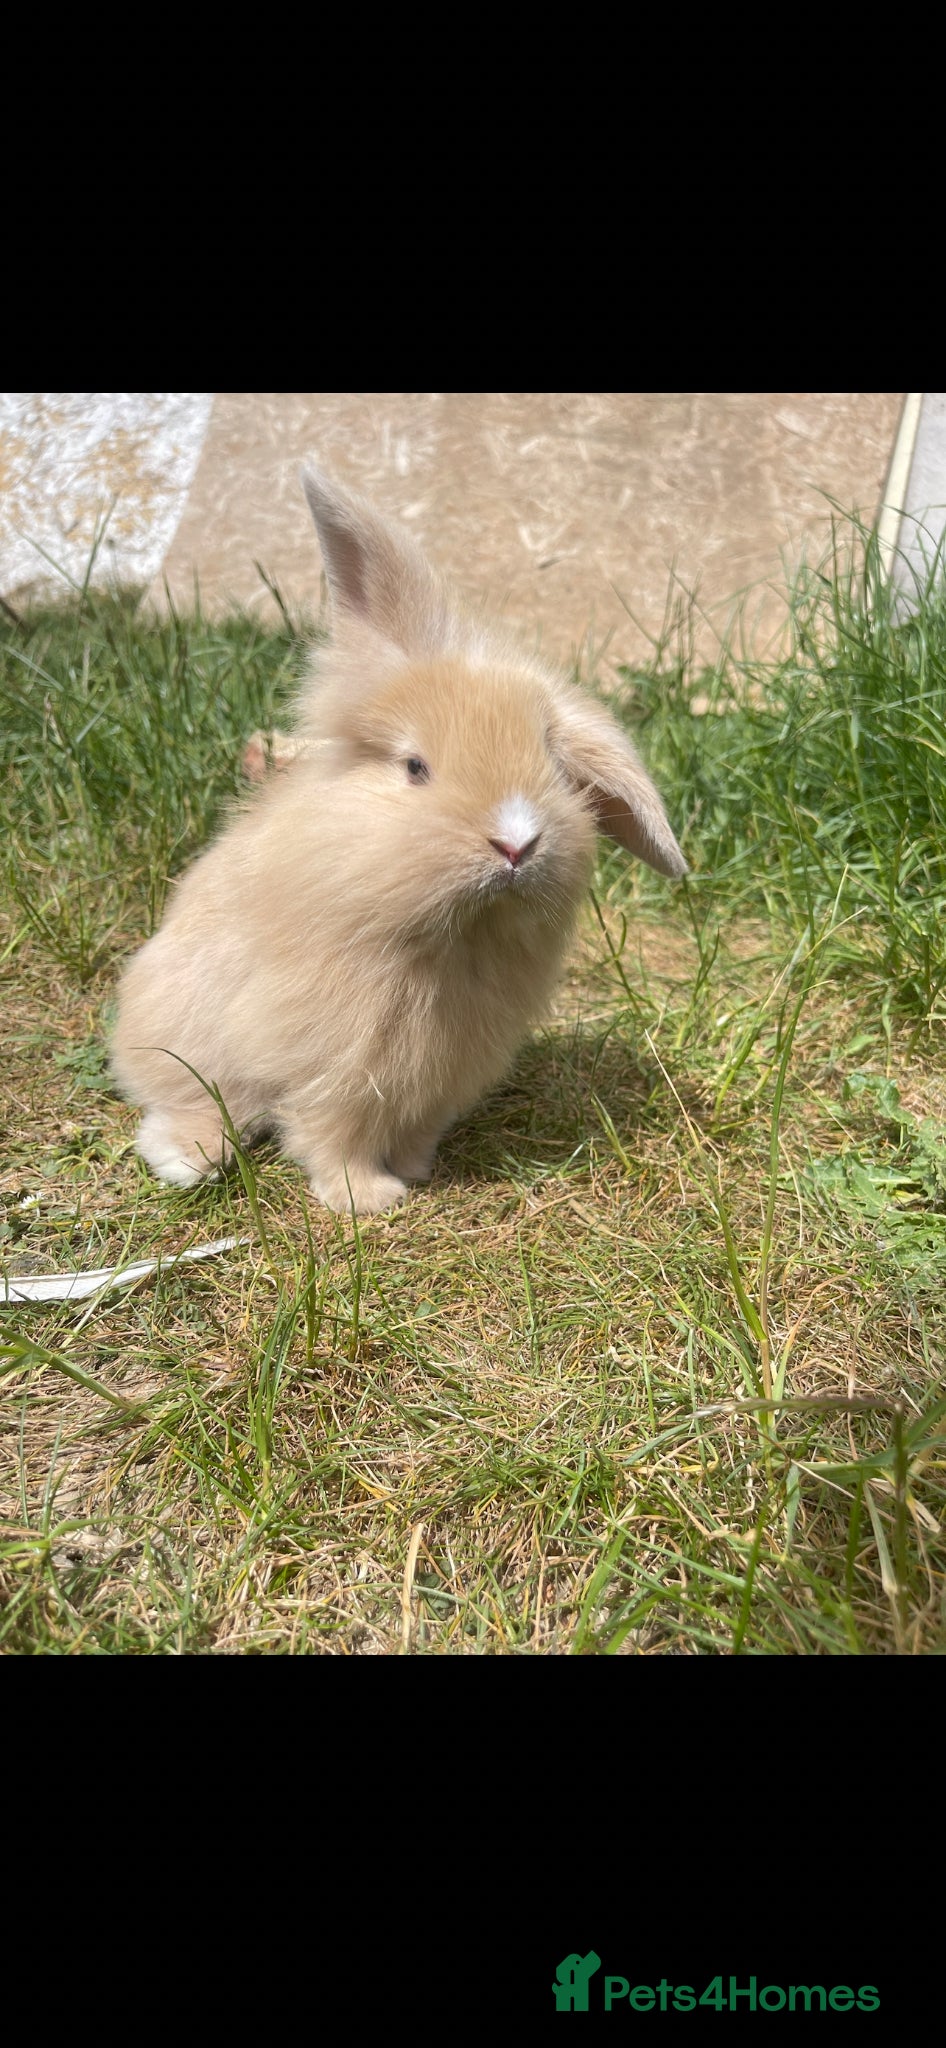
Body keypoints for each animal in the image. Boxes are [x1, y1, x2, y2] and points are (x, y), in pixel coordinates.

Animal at [110, 466, 687, 1214]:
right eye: (415, 767)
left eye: (557, 769)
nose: (516, 843)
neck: (454, 937)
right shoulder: (342, 1061)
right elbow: (332, 1132)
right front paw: (367, 1199)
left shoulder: (443, 1073)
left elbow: (413, 1125)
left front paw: (416, 1169)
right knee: (196, 1098)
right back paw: (186, 1157)